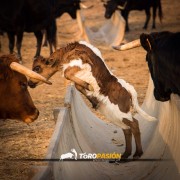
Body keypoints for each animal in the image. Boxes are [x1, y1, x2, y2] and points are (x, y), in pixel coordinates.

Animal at [28, 40, 156, 159]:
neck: (68, 52)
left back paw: (138, 153)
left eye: (37, 68)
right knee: (127, 129)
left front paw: (88, 86)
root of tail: (128, 88)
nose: (29, 83)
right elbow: (77, 85)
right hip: (113, 114)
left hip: (121, 112)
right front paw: (93, 99)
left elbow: (67, 74)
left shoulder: (79, 64)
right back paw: (125, 155)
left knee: (134, 124)